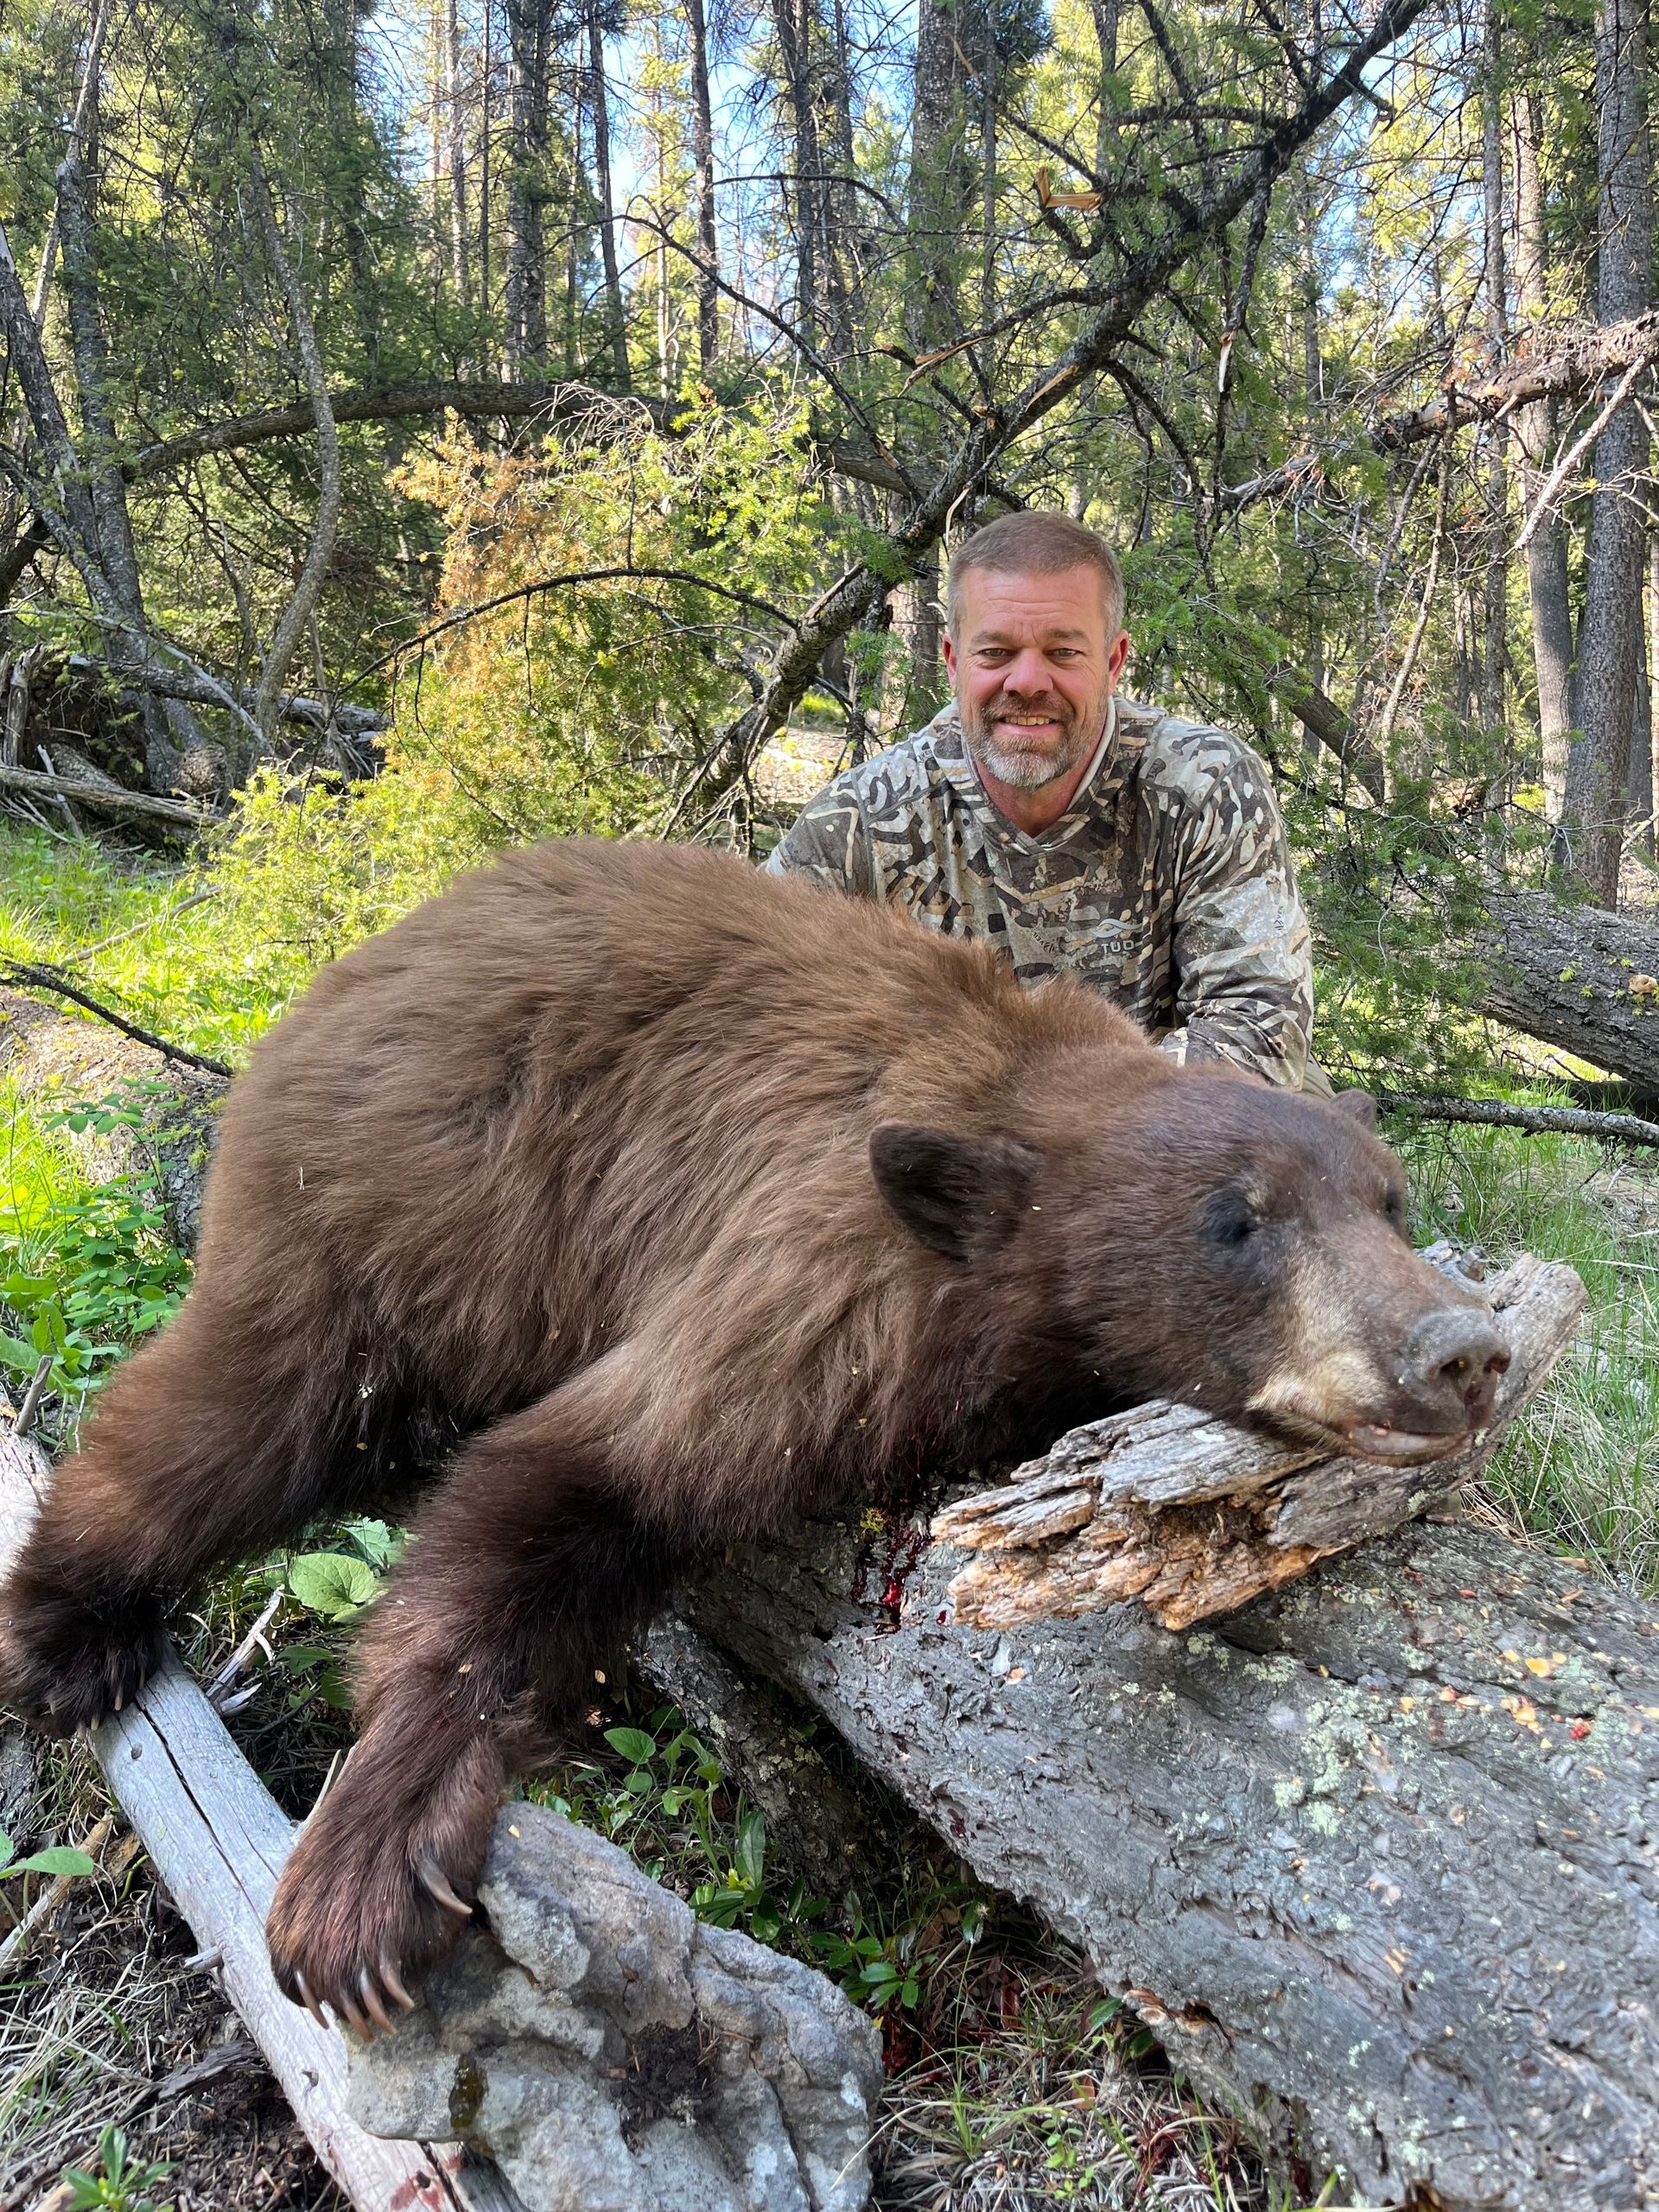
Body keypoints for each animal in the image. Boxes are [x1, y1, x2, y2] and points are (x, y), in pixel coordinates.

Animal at [0, 837, 1507, 2038]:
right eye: (1237, 1218)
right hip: (374, 1208)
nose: (1464, 1351)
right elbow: (584, 1474)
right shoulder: (819, 1270)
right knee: (235, 1414)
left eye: (1386, 1199)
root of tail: (355, 960)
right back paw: (67, 1626)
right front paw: (365, 1880)